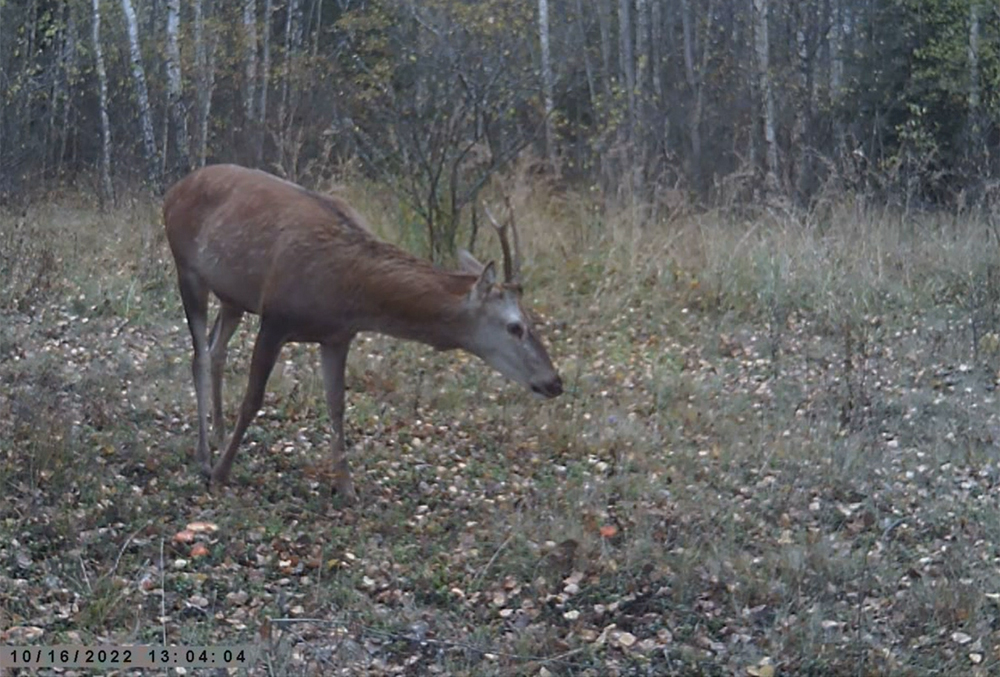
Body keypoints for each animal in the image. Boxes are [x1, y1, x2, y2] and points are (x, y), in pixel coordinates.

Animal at [164, 164, 564, 502]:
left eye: (531, 318)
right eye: (515, 326)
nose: (554, 382)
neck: (347, 289)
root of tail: (175, 187)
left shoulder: (338, 336)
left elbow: (337, 405)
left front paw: (346, 486)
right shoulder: (275, 317)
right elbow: (252, 400)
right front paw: (221, 473)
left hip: (234, 296)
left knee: (216, 349)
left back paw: (219, 432)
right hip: (187, 269)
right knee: (199, 357)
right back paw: (205, 454)